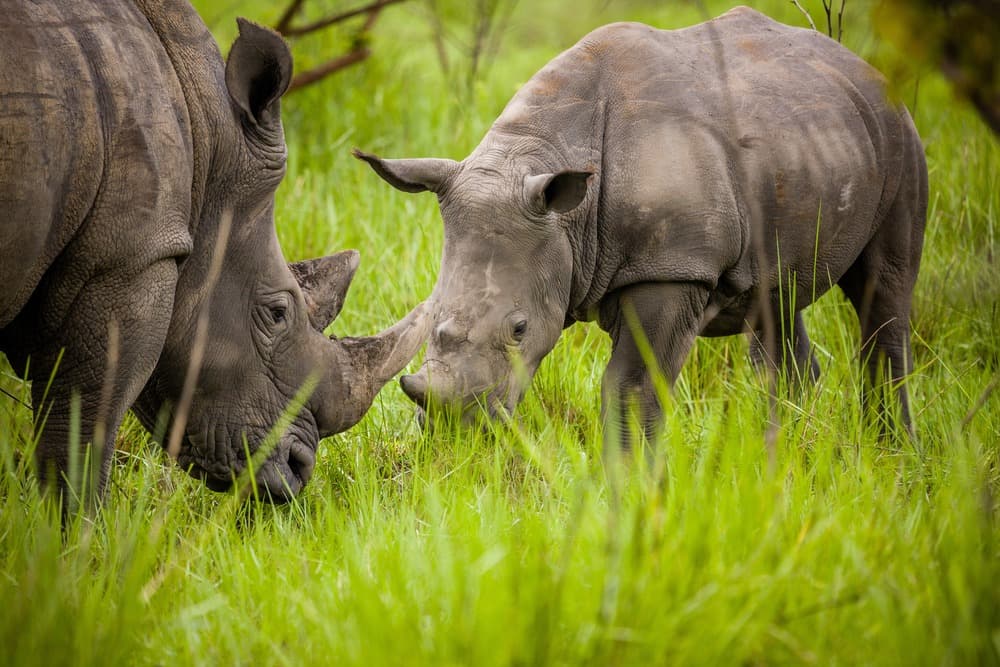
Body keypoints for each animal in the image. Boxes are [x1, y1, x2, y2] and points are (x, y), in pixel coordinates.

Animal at [0, 0, 429, 509]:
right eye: (277, 314)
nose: (297, 470)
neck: (208, 144)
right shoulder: (131, 259)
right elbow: (82, 435)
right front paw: (70, 530)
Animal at [356, 6, 927, 445]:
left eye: (519, 329)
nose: (455, 428)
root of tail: (860, 64)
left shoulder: (673, 267)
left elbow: (630, 389)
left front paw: (630, 488)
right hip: (808, 138)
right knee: (776, 299)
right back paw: (785, 456)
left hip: (900, 135)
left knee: (884, 293)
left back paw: (891, 453)